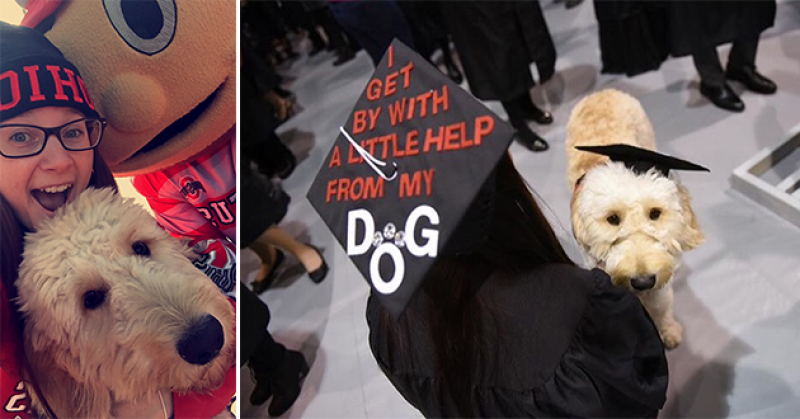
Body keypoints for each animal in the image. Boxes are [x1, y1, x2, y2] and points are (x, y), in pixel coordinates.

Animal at [568, 89, 708, 352]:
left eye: (655, 213)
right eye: (613, 219)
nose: (642, 281)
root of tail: (603, 91)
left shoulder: (659, 285)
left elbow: (661, 307)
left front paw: (668, 331)